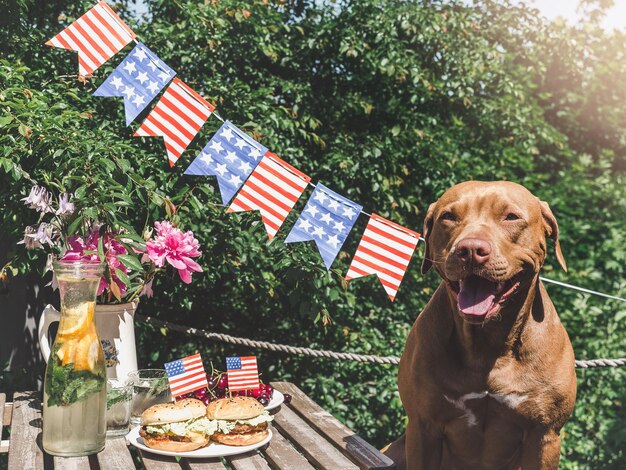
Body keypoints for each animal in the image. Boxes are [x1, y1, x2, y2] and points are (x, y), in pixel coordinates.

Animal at [382, 182, 576, 468]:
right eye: (449, 216)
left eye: (511, 217)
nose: (471, 250)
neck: (488, 344)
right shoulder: (422, 425)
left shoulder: (544, 435)